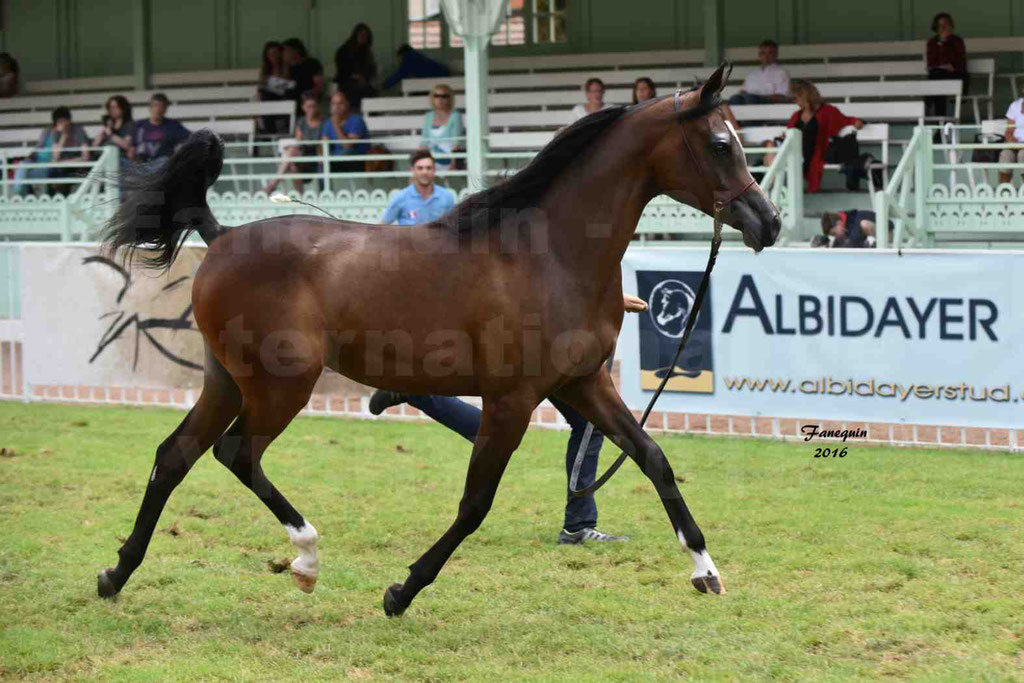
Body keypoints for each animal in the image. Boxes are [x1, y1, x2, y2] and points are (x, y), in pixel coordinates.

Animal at [99, 63, 778, 618]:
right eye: (721, 143)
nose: (767, 223)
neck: (549, 253)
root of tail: (219, 236)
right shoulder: (512, 400)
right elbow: (476, 503)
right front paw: (401, 592)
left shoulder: (583, 383)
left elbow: (653, 458)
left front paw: (706, 571)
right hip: (279, 386)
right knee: (237, 454)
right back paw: (306, 559)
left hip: (226, 381)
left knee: (175, 456)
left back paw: (116, 574)